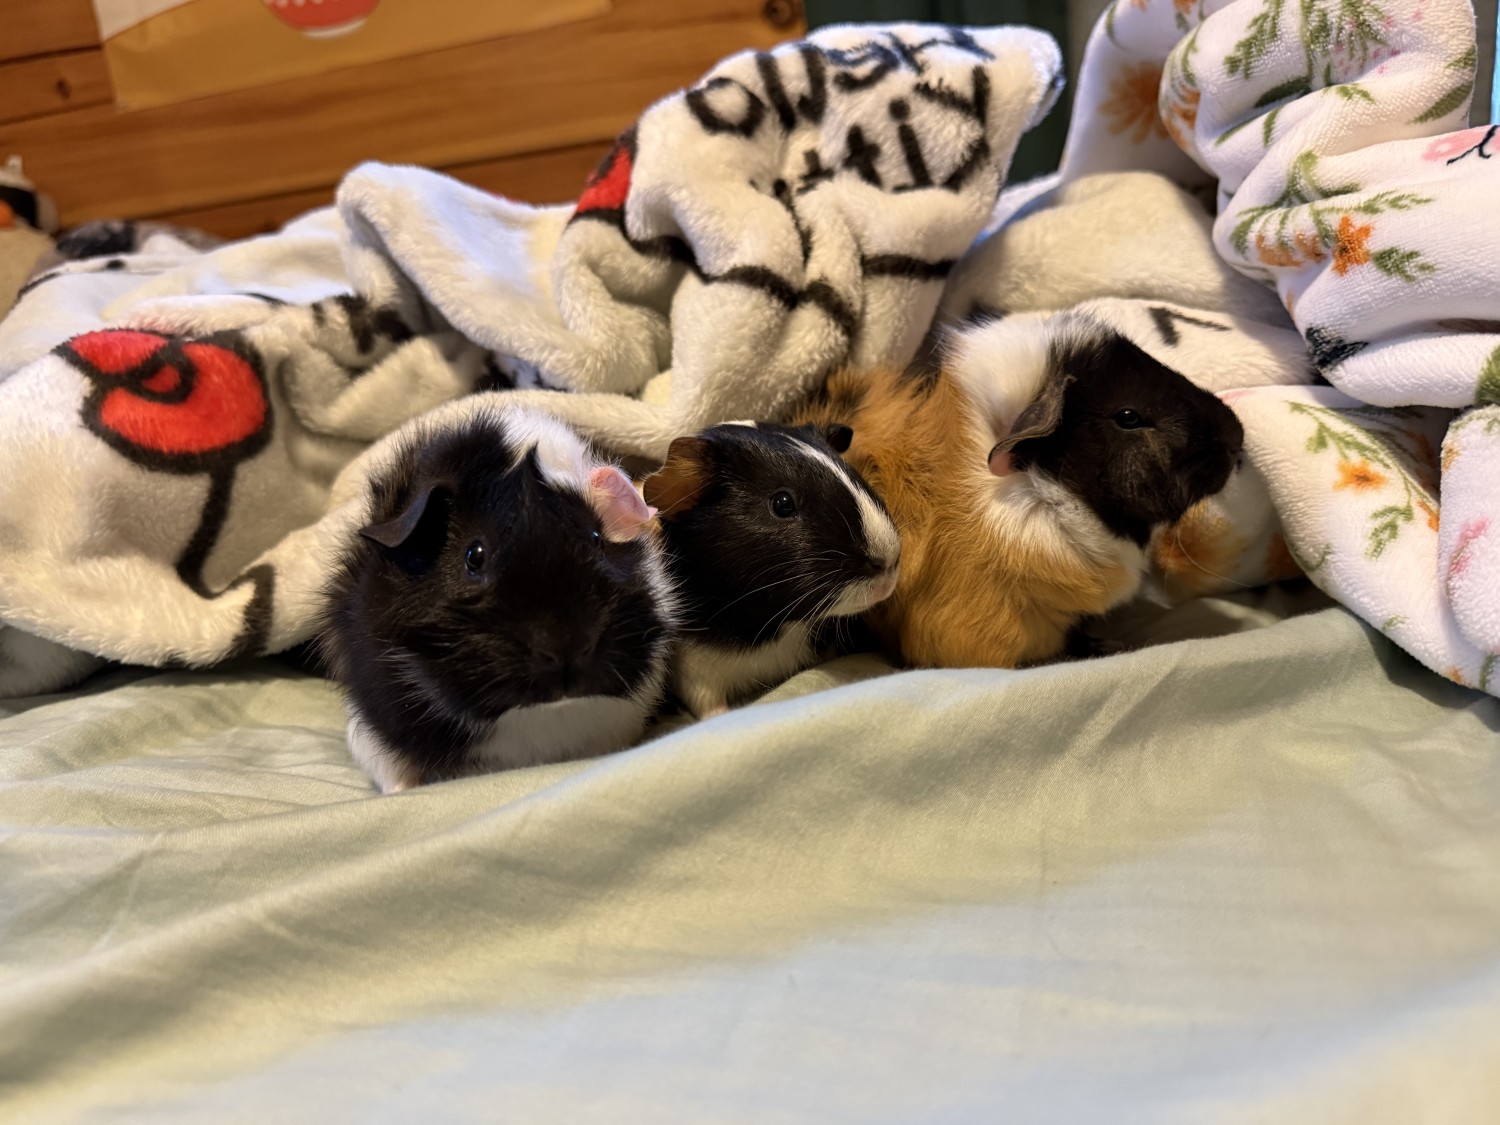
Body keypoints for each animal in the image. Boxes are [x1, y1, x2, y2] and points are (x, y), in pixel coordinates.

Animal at [641, 421, 901, 718]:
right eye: (782, 503)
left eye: (854, 475)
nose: (888, 563)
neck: (776, 628)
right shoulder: (695, 671)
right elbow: (711, 709)